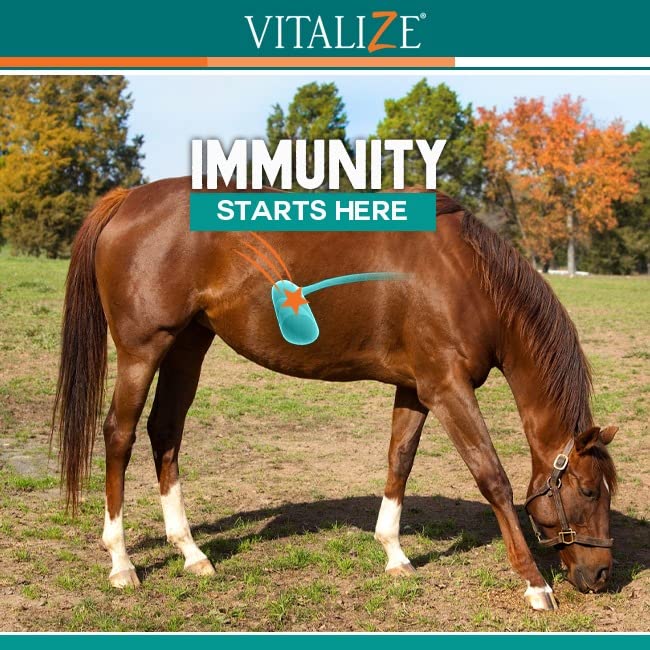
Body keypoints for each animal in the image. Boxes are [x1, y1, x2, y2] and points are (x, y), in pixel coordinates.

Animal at [52, 177, 618, 611]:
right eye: (590, 492)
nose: (600, 576)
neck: (463, 277)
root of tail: (128, 198)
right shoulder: (448, 389)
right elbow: (493, 478)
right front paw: (534, 584)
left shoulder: (415, 389)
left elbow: (399, 461)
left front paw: (394, 553)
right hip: (142, 350)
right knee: (119, 435)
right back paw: (121, 561)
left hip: (188, 345)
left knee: (164, 432)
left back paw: (191, 553)